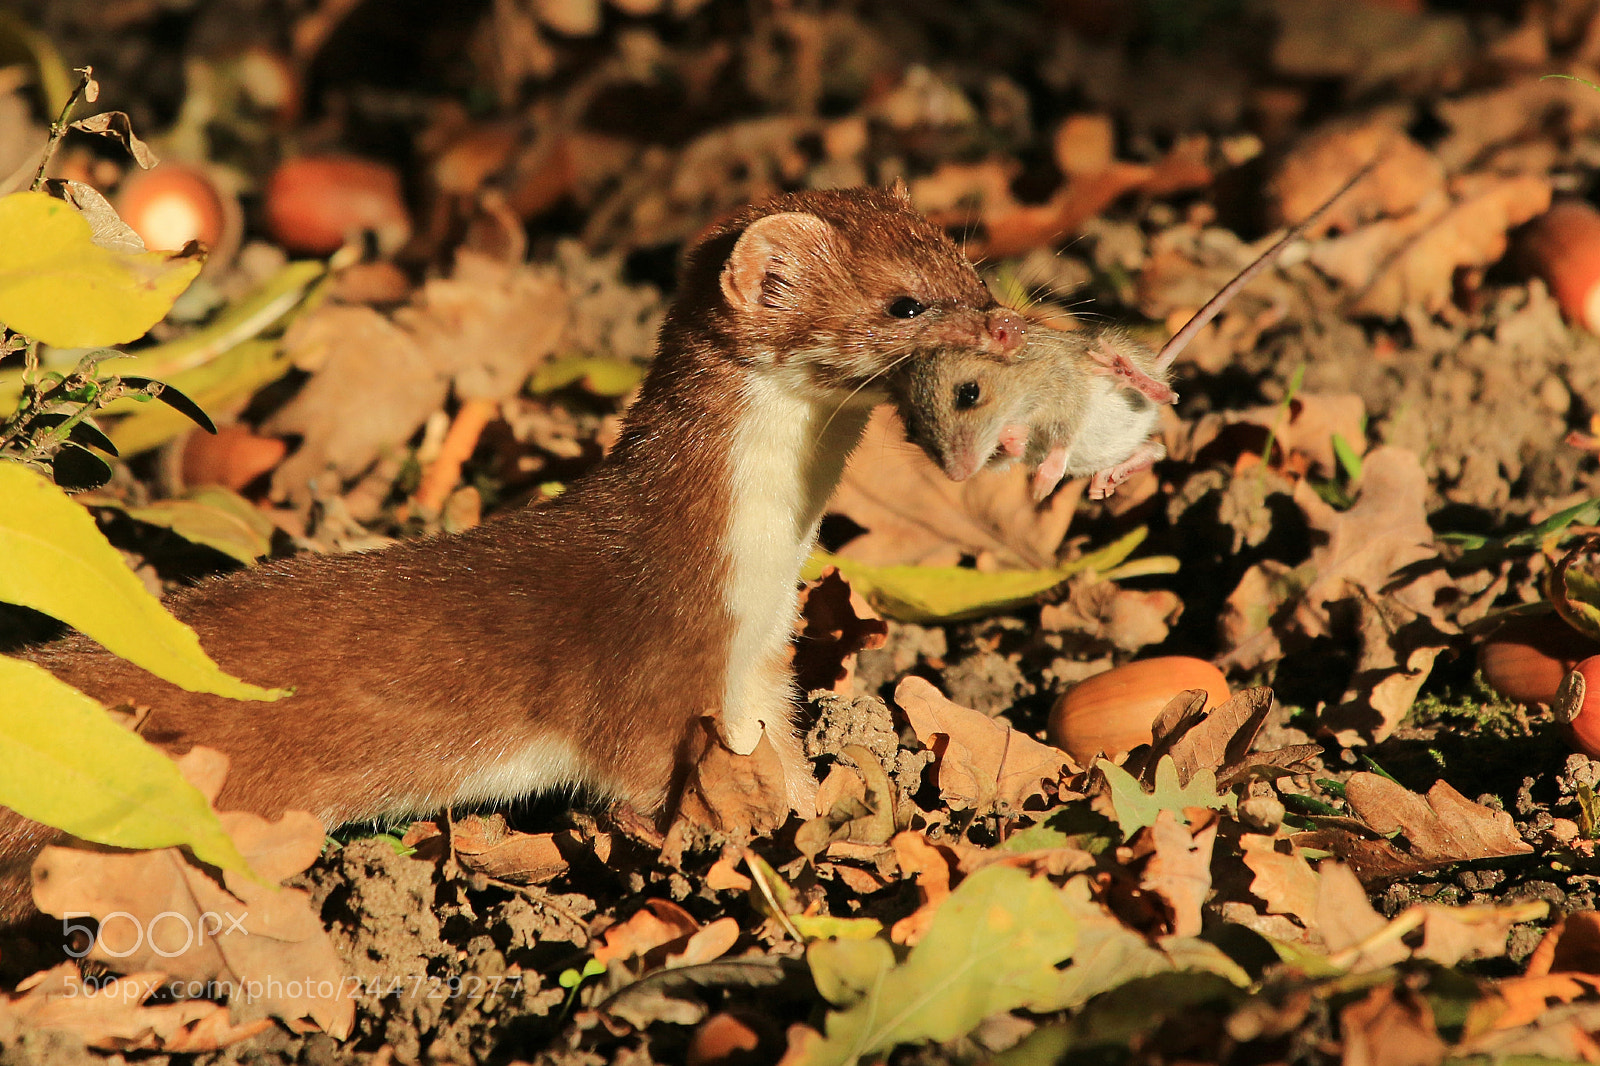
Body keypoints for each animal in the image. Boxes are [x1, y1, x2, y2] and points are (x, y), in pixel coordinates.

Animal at [0, 184, 1024, 921]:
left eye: (967, 264)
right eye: (905, 302)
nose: (1006, 321)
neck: (750, 573)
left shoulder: (759, 667)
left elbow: (788, 761)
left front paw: (831, 818)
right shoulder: (650, 682)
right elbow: (649, 786)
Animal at [896, 158, 1382, 502]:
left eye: (969, 394)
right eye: (913, 427)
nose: (957, 477)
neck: (1017, 378)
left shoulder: (1065, 393)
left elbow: (1060, 441)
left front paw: (1041, 484)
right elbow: (1008, 457)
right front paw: (1014, 443)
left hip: (1120, 378)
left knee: (1168, 395)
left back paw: (1121, 369)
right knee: (1157, 449)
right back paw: (1106, 480)